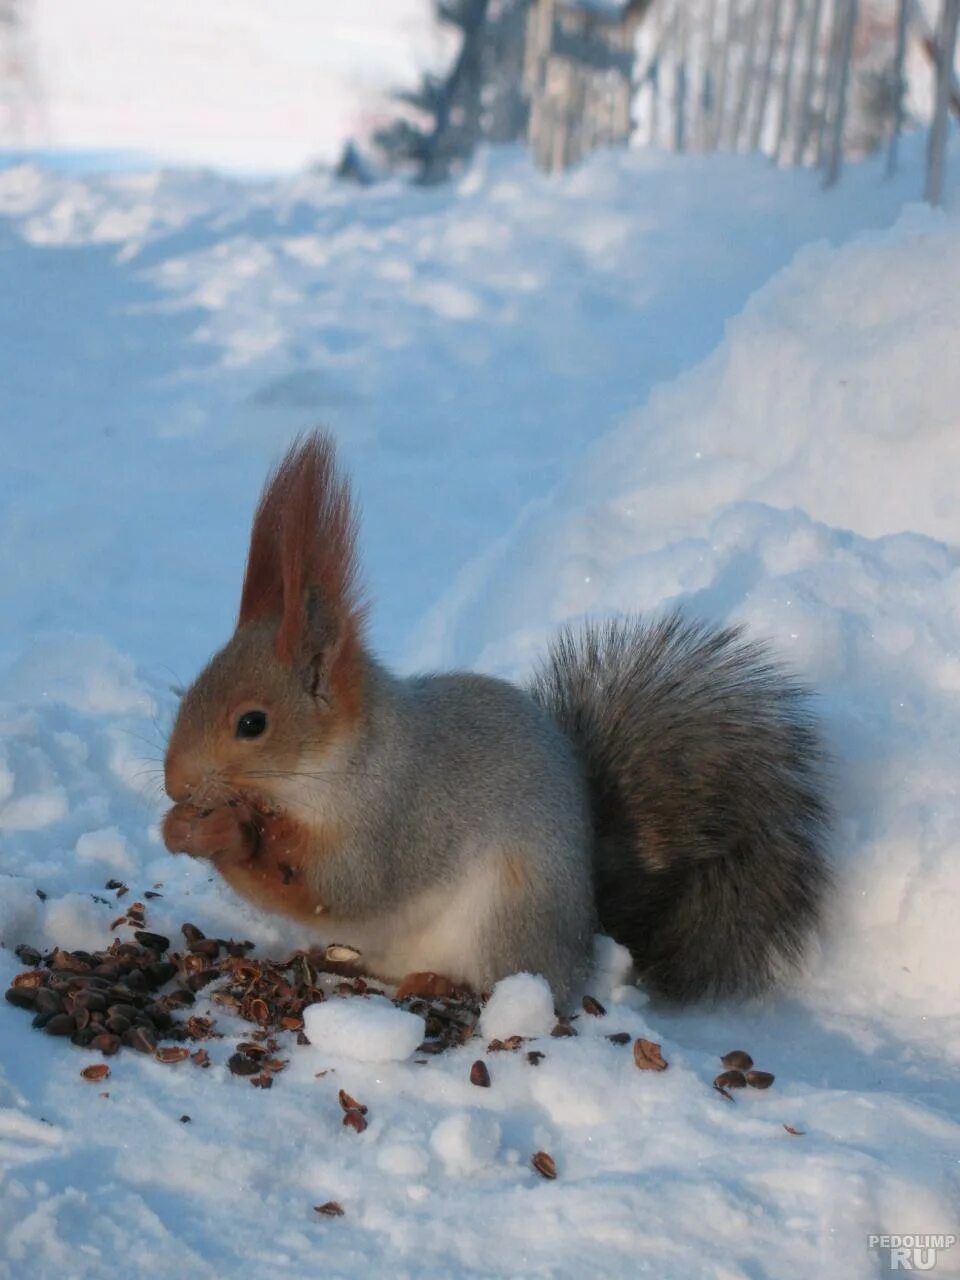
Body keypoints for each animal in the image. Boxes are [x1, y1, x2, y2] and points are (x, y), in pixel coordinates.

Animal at [161, 435, 829, 1003]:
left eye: (253, 724)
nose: (173, 784)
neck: (336, 765)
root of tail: (583, 937)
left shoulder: (398, 819)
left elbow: (337, 885)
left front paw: (221, 832)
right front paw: (177, 827)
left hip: (508, 917)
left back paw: (438, 983)